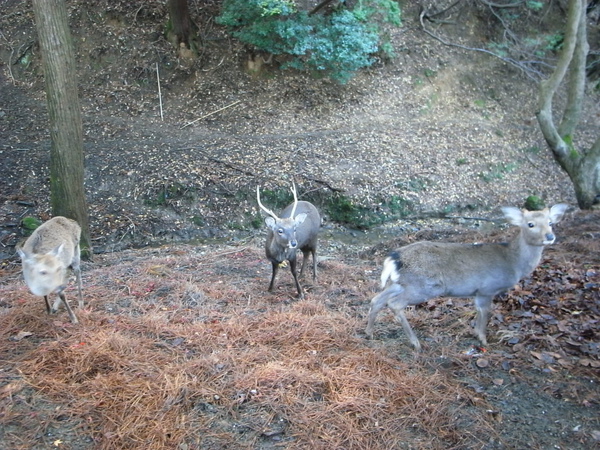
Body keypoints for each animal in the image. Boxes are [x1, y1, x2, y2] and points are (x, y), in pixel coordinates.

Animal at [366, 205, 568, 352]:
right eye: (530, 224)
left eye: (550, 222)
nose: (550, 236)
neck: (513, 262)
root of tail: (394, 258)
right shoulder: (488, 288)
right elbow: (485, 312)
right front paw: (483, 340)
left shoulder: (478, 291)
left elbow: (478, 311)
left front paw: (476, 334)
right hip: (424, 286)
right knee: (395, 304)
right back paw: (415, 343)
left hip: (400, 283)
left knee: (377, 299)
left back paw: (369, 333)